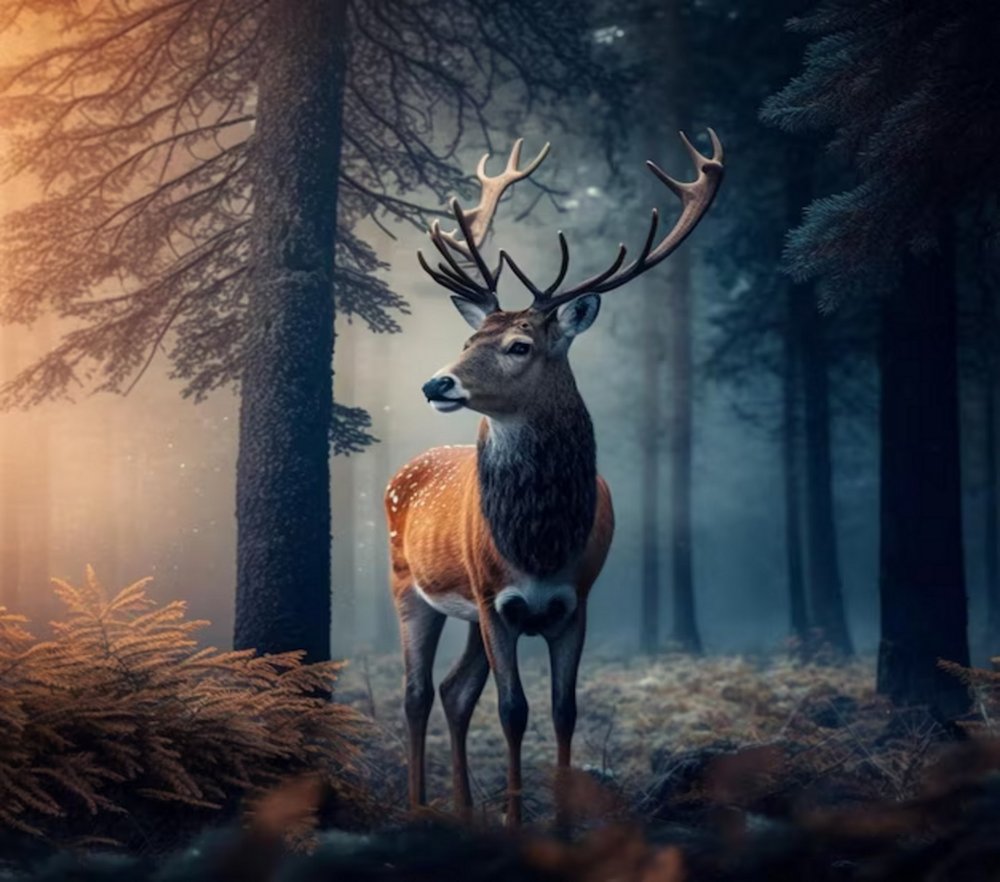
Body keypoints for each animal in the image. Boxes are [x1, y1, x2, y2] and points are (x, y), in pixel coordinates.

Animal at [385, 131, 724, 826]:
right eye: (469, 338)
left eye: (519, 345)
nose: (435, 383)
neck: (539, 544)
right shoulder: (495, 600)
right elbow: (514, 712)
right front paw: (517, 823)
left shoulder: (576, 600)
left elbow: (564, 710)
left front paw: (563, 825)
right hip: (409, 587)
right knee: (415, 693)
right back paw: (419, 808)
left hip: (463, 613)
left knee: (453, 691)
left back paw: (462, 810)